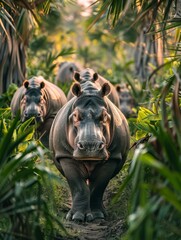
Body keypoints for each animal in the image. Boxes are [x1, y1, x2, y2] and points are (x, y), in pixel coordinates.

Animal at [49, 68, 130, 222]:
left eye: (105, 116)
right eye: (75, 116)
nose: (90, 147)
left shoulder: (112, 157)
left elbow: (99, 186)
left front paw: (98, 216)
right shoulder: (66, 155)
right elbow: (78, 186)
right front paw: (77, 217)